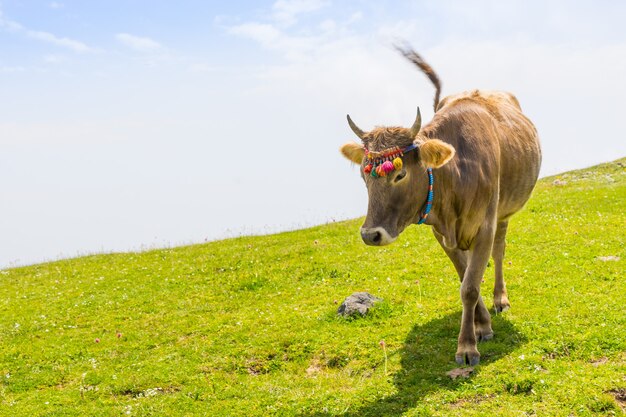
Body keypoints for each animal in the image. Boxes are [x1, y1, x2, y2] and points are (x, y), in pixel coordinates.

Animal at [338, 46, 540, 364]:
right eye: (363, 174)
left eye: (400, 174)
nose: (370, 235)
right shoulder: (443, 235)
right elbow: (465, 278)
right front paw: (481, 326)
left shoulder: (485, 226)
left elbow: (469, 287)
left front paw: (467, 347)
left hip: (504, 213)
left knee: (499, 251)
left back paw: (501, 299)